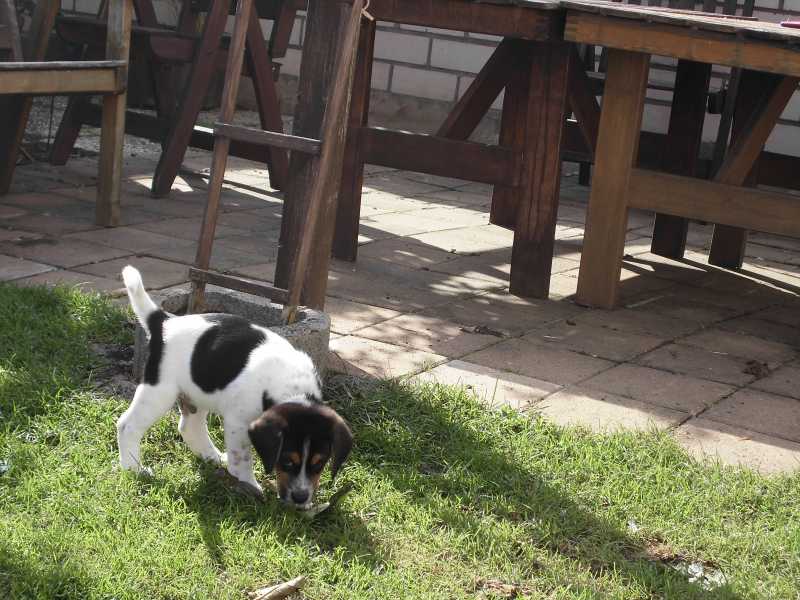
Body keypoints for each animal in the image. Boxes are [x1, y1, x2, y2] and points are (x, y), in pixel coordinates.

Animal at [117, 266, 352, 509]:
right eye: (287, 461)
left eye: (319, 463)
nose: (300, 498)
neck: (291, 386)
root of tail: (164, 323)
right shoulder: (238, 424)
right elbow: (242, 458)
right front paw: (250, 485)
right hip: (160, 391)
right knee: (127, 425)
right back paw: (134, 468)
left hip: (199, 390)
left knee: (190, 427)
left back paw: (211, 456)